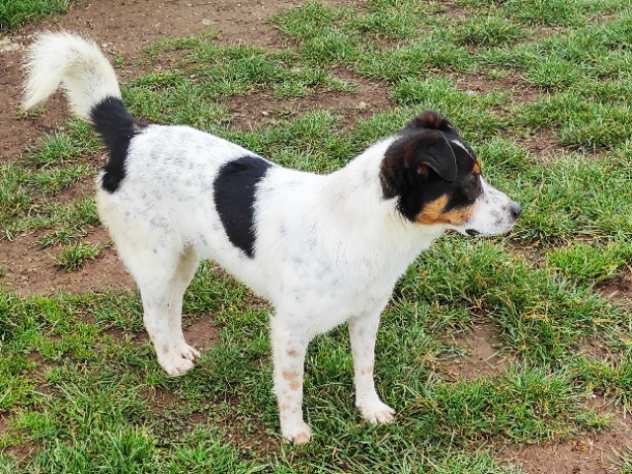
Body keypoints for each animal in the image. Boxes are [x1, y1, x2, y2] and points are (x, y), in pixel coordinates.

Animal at [22, 33, 520, 444]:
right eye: (470, 182)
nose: (518, 211)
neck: (359, 228)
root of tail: (129, 134)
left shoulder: (366, 316)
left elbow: (365, 368)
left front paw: (370, 410)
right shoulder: (289, 329)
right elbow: (292, 387)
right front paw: (294, 433)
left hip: (185, 258)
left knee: (172, 308)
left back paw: (182, 350)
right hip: (156, 260)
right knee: (152, 313)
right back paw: (169, 361)